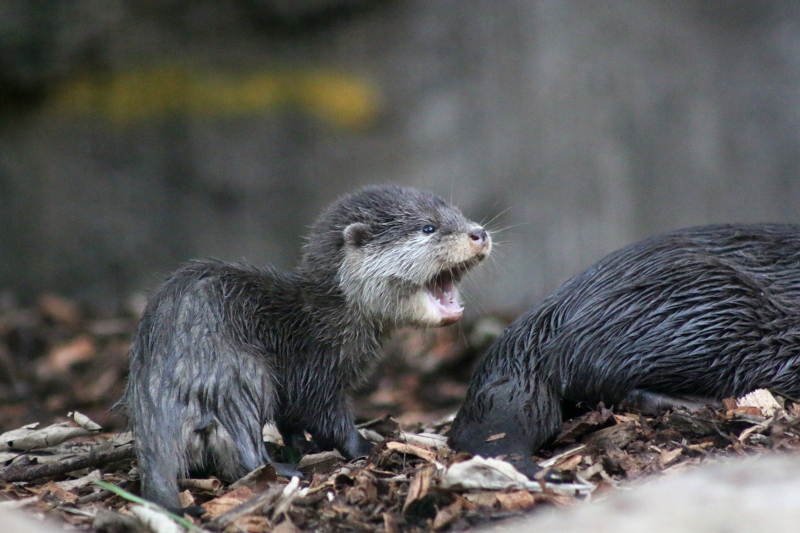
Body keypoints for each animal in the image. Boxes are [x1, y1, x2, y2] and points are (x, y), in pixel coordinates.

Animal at [122, 185, 491, 509]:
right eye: (428, 227)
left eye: (459, 215)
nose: (479, 233)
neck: (328, 318)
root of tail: (156, 402)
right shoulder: (313, 370)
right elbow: (326, 417)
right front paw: (366, 445)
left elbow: (291, 423)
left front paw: (301, 446)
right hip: (241, 374)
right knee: (241, 451)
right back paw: (281, 471)